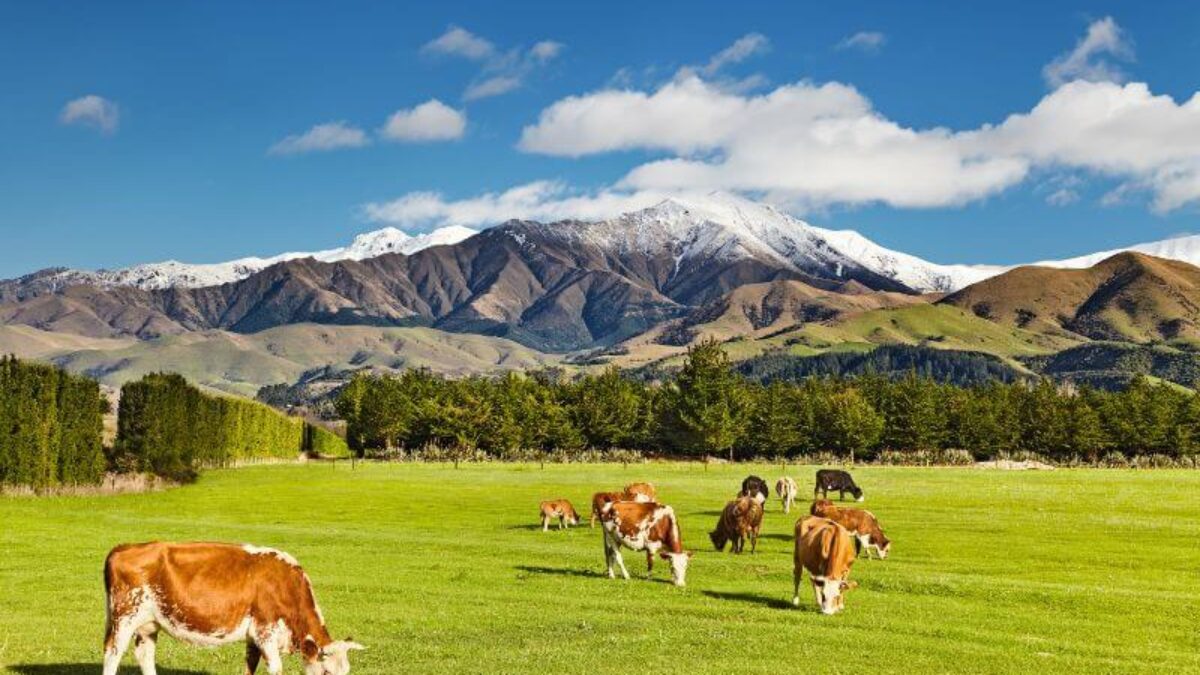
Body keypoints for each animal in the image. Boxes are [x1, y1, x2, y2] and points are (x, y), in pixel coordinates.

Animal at [103, 542, 363, 675]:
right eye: (327, 672)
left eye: (346, 671)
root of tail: (123, 548)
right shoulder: (265, 631)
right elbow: (276, 668)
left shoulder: (254, 636)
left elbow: (250, 666)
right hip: (124, 617)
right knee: (112, 654)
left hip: (148, 623)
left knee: (145, 656)